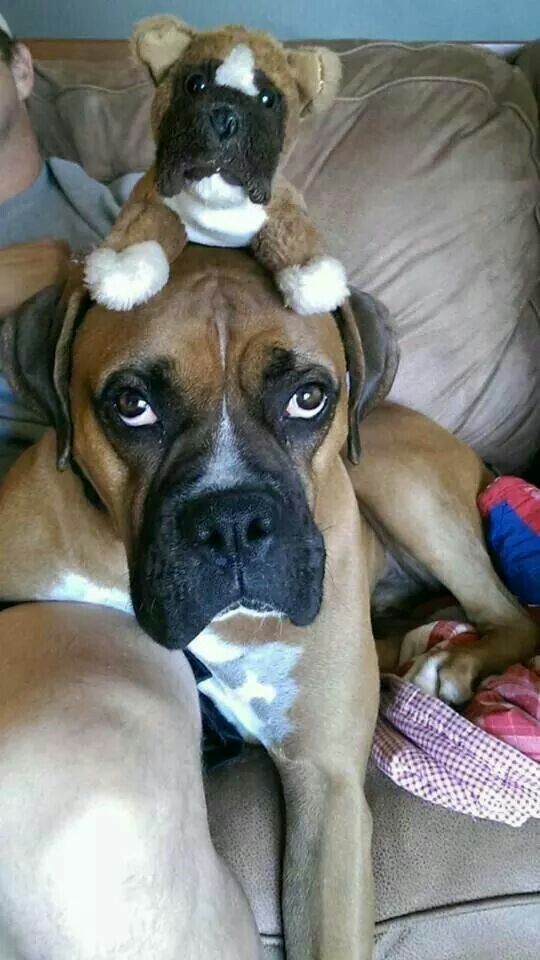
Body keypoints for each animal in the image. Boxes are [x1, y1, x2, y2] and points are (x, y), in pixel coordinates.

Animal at [0, 248, 536, 960]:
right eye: (132, 405)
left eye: (308, 398)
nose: (232, 521)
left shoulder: (329, 793)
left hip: (392, 475)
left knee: (512, 614)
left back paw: (451, 665)